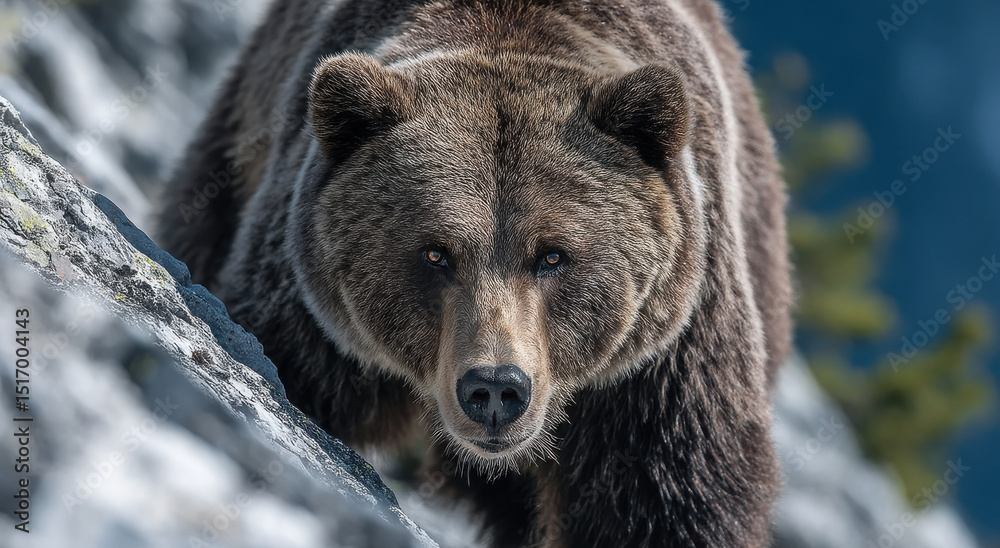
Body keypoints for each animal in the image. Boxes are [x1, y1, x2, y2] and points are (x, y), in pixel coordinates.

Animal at [156, 0, 792, 546]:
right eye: (436, 253)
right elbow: (283, 368)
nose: (494, 388)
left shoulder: (661, 363)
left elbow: (666, 497)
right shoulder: (311, 311)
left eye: (553, 255)